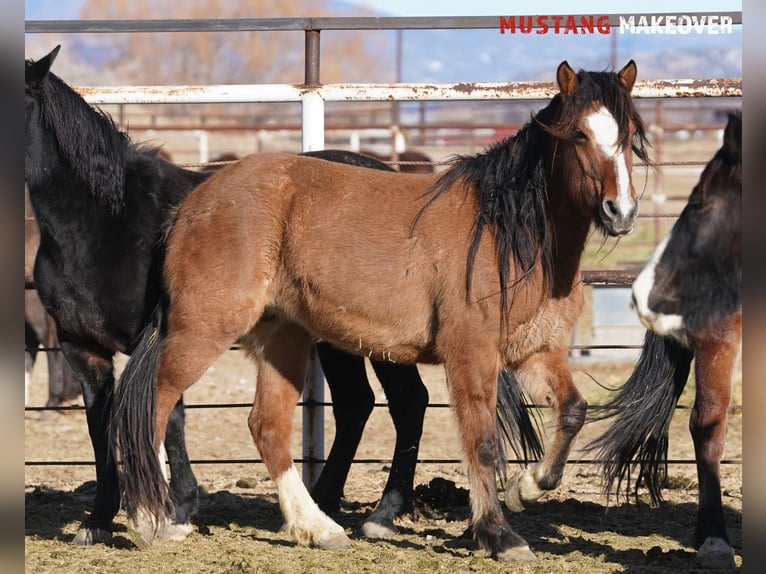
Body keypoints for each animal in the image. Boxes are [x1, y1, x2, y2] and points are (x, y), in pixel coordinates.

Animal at [114, 62, 652, 564]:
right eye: (579, 133)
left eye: (628, 135)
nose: (620, 212)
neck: (510, 234)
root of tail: (192, 203)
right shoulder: (471, 355)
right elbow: (482, 443)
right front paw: (500, 536)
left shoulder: (537, 352)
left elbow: (573, 411)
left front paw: (527, 487)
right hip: (202, 329)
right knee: (153, 404)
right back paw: (154, 519)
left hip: (284, 337)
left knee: (267, 426)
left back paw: (318, 527)